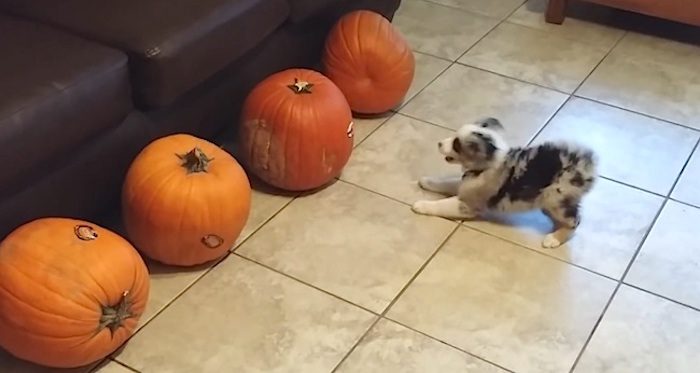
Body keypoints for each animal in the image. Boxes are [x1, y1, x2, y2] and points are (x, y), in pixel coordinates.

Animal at [412, 117, 600, 248]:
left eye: (457, 144)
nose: (439, 143)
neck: (483, 166)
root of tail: (588, 164)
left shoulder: (467, 205)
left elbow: (441, 204)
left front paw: (421, 205)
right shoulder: (465, 184)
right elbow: (446, 182)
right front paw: (426, 181)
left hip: (556, 198)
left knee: (575, 221)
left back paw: (553, 239)